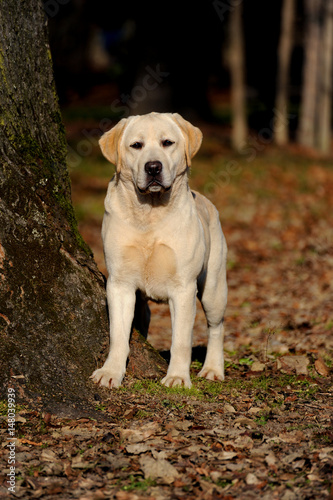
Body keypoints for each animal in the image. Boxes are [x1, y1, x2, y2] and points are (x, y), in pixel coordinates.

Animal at [91, 111, 226, 388]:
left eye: (167, 143)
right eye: (136, 145)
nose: (153, 167)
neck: (150, 214)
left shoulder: (183, 287)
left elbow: (181, 341)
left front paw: (177, 377)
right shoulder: (119, 284)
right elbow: (118, 335)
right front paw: (111, 372)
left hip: (214, 289)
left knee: (217, 327)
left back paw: (213, 369)